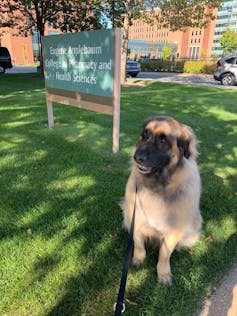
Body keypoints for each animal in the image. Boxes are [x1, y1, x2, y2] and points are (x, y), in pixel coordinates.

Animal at [120, 115, 202, 284]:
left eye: (163, 140)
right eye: (145, 134)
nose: (137, 157)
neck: (158, 185)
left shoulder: (174, 231)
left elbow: (164, 254)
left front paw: (163, 273)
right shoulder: (135, 219)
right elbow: (138, 244)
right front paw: (138, 259)